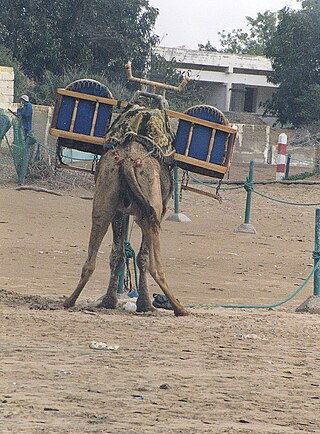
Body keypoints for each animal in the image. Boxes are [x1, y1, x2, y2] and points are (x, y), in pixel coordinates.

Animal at [63, 132, 190, 316]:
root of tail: (129, 161)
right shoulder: (158, 209)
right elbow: (142, 256)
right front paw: (144, 305)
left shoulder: (119, 211)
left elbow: (118, 254)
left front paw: (110, 301)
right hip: (152, 208)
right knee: (155, 265)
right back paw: (179, 308)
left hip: (105, 196)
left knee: (91, 258)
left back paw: (69, 301)